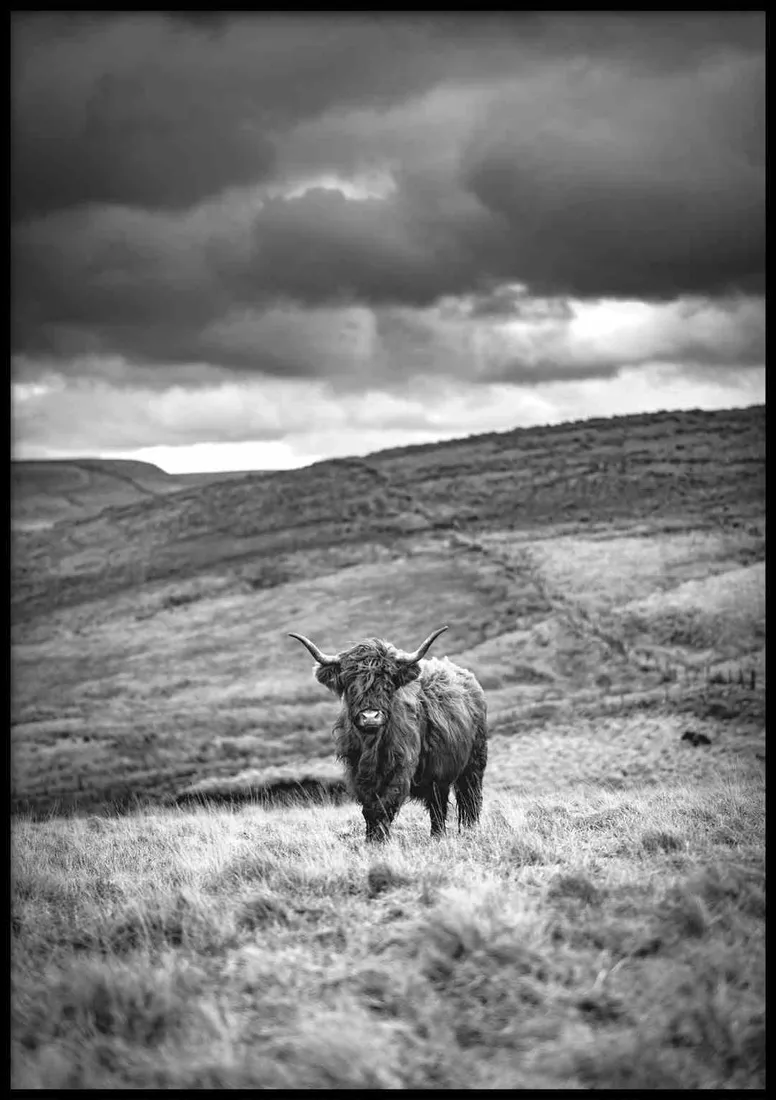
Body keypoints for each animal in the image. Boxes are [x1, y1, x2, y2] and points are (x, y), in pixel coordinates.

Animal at [288, 626, 488, 842]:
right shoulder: (357, 771)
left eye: (387, 683)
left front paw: (380, 839)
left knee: (469, 797)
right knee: (438, 802)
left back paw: (468, 830)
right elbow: (369, 807)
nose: (370, 717)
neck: (371, 745)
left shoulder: (400, 766)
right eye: (350, 684)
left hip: (474, 762)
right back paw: (437, 834)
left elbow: (385, 804)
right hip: (439, 770)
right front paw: (370, 839)